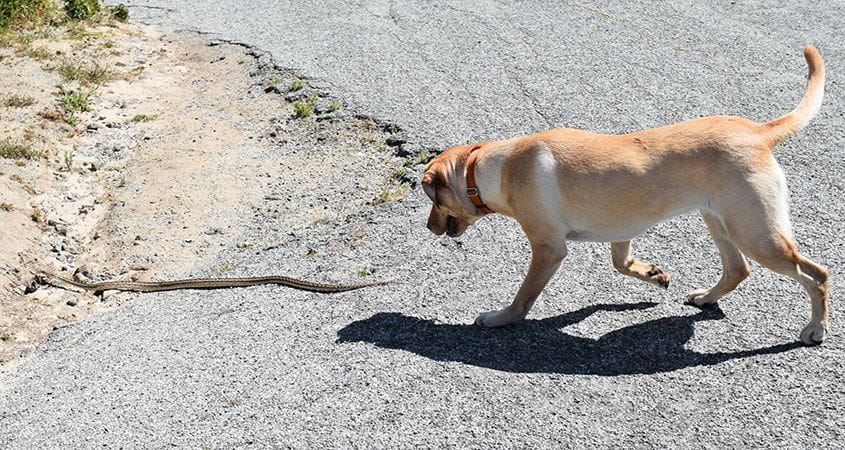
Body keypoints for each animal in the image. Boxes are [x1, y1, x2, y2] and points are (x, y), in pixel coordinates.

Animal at [418, 44, 828, 344]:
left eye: (434, 201)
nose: (428, 228)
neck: (498, 166)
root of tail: (757, 132)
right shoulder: (621, 230)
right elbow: (622, 264)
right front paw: (653, 274)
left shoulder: (549, 249)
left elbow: (523, 298)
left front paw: (500, 318)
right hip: (720, 221)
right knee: (738, 269)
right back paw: (706, 298)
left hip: (756, 232)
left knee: (816, 274)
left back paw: (815, 329)